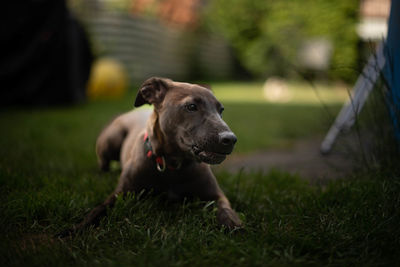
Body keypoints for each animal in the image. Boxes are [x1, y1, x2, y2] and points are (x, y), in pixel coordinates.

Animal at [61, 77, 242, 237]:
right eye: (191, 106)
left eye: (221, 110)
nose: (231, 139)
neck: (172, 166)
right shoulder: (120, 194)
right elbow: (97, 210)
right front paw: (75, 229)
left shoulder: (216, 195)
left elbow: (226, 209)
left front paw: (233, 224)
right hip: (110, 139)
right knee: (103, 164)